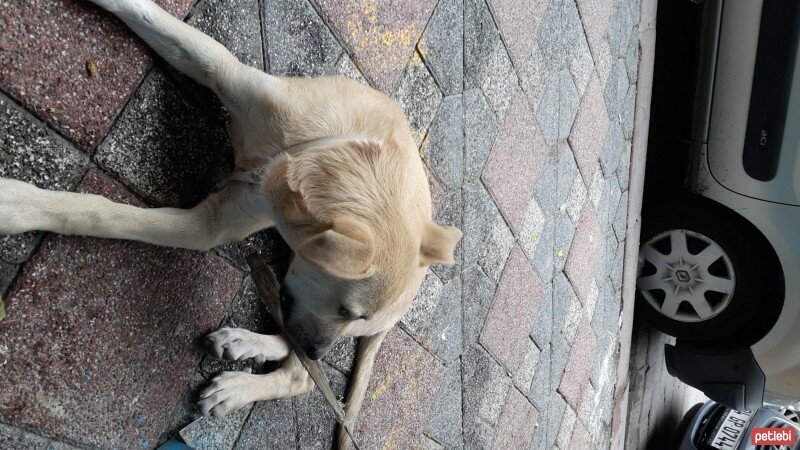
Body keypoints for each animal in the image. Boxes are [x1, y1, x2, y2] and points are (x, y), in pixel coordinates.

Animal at [0, 0, 462, 446]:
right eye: (349, 309)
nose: (317, 350)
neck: (297, 152)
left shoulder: (210, 226)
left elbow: (101, 213)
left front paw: (20, 204)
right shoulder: (226, 72)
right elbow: (151, 18)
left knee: (301, 376)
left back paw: (240, 385)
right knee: (291, 347)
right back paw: (250, 344)